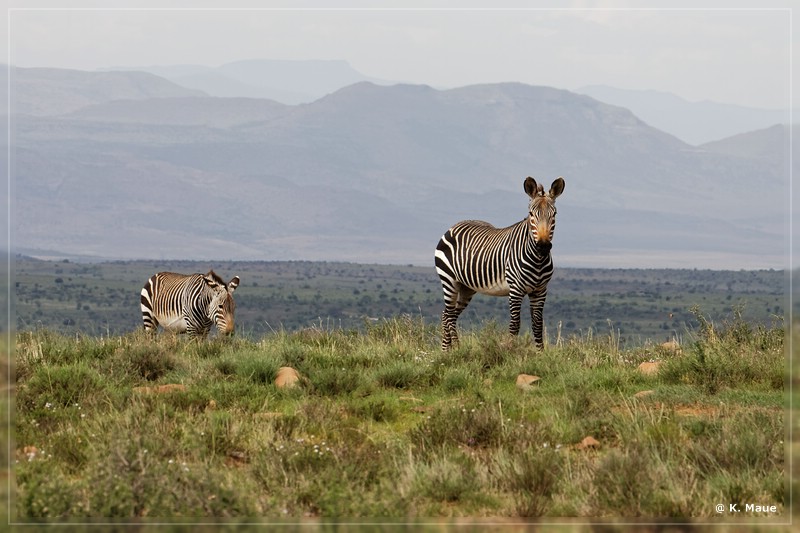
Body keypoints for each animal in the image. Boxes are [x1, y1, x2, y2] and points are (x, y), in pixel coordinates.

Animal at [434, 177, 564, 352]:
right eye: (531, 214)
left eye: (554, 214)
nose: (543, 246)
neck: (537, 260)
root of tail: (453, 226)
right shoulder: (515, 289)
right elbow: (515, 325)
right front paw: (510, 352)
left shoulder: (540, 290)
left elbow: (537, 325)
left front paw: (540, 353)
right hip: (449, 280)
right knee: (447, 315)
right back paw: (453, 349)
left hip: (466, 287)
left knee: (448, 315)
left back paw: (449, 350)